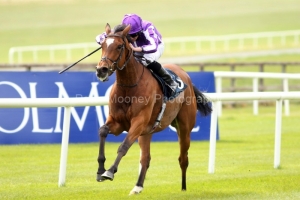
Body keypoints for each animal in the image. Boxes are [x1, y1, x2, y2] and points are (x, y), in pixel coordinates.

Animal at [94, 22, 211, 195]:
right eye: (102, 45)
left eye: (119, 46)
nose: (101, 69)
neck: (129, 86)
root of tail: (186, 76)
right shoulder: (117, 122)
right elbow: (102, 131)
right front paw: (100, 170)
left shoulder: (138, 123)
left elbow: (123, 146)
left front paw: (109, 171)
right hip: (146, 132)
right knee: (145, 158)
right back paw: (137, 187)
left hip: (184, 128)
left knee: (183, 158)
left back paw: (183, 188)